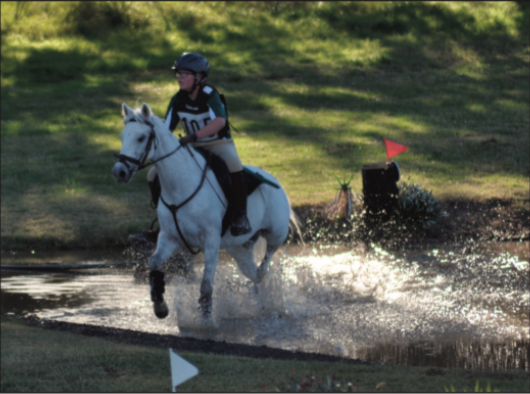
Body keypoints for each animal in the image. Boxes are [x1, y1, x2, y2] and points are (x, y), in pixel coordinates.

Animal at [110, 102, 302, 320]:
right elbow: (154, 262)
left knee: (265, 263)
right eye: (122, 136)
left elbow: (206, 285)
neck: (180, 185)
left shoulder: (211, 240)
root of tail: (275, 180)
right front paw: (160, 306)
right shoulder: (171, 238)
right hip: (240, 247)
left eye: (141, 138)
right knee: (255, 273)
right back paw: (263, 302)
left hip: (276, 234)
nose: (119, 172)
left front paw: (206, 321)